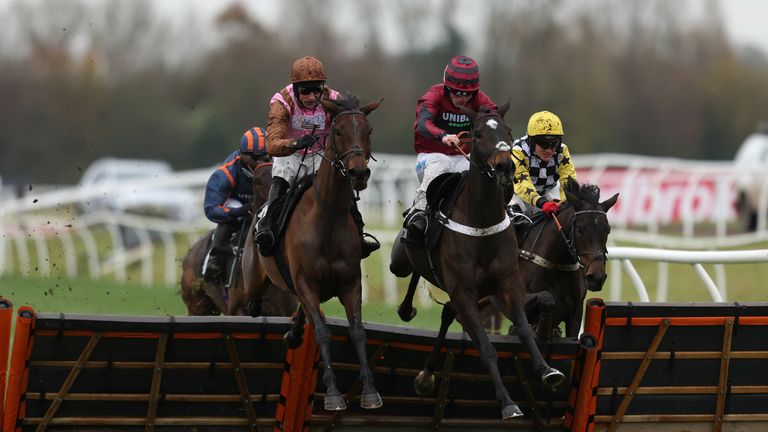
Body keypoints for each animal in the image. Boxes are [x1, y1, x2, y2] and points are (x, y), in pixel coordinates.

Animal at [242, 92, 382, 412]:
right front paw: (332, 394)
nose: (359, 172)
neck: (328, 215)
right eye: (338, 131)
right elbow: (321, 331)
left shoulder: (350, 282)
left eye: (368, 131)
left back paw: (294, 332)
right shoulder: (306, 281)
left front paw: (370, 391)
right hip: (254, 280)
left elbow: (357, 331)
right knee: (255, 303)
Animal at [390, 102, 564, 418]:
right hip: (401, 260)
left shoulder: (507, 284)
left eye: (508, 131)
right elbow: (485, 347)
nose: (505, 166)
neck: (481, 223)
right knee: (408, 269)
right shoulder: (465, 291)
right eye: (478, 133)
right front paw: (508, 403)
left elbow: (524, 330)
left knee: (446, 311)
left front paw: (547, 371)